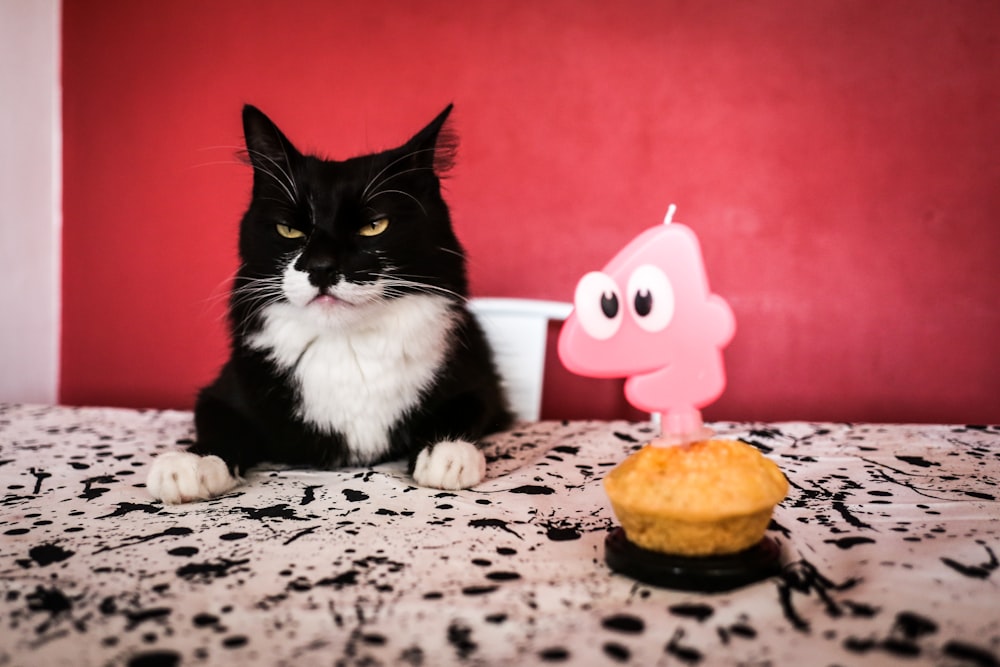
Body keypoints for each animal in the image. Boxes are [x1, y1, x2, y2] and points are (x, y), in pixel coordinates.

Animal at [148, 104, 516, 504]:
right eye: (289, 230)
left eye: (374, 226)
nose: (321, 267)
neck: (346, 345)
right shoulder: (222, 391)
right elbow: (220, 422)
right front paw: (192, 463)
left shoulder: (481, 382)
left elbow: (467, 407)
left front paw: (447, 452)